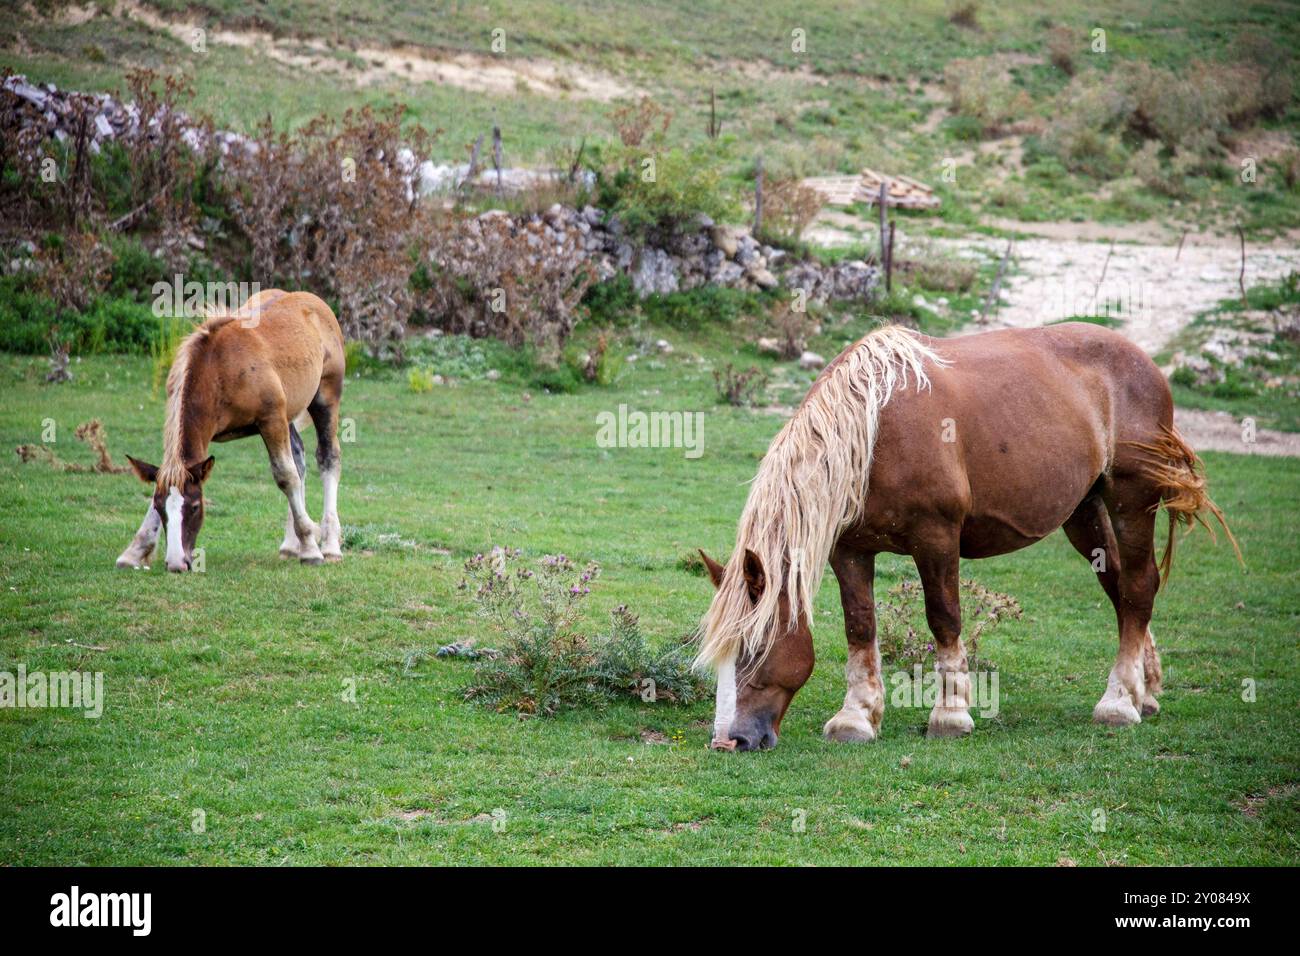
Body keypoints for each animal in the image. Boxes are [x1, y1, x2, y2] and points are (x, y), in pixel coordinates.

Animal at [115, 289, 346, 573]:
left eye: (195, 506)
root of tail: (315, 302)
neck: (219, 368)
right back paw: (291, 545)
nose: (178, 563)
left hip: (325, 398)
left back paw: (330, 545)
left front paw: (311, 550)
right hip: (290, 413)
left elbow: (286, 476)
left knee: (327, 458)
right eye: (160, 508)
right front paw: (135, 551)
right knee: (300, 459)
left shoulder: (271, 419)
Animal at [697, 322, 1238, 751]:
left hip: (1131, 500)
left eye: (754, 648)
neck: (873, 430)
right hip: (1085, 513)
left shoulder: (936, 538)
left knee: (1139, 586)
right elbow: (860, 627)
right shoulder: (850, 550)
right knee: (1122, 590)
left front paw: (951, 715)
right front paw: (856, 718)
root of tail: (1147, 363)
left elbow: (944, 619)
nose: (729, 741)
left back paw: (1119, 702)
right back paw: (1145, 692)